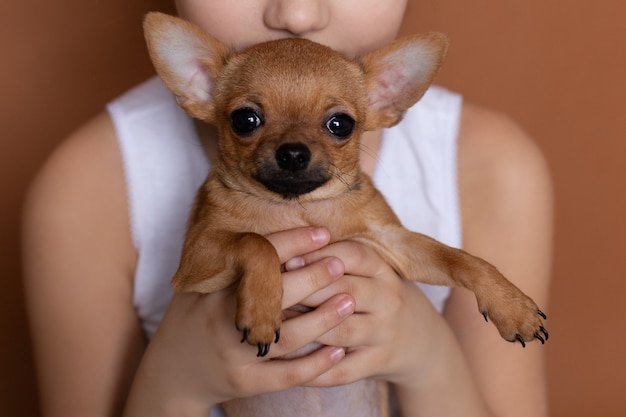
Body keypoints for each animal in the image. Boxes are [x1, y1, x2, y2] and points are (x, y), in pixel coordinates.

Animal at [144, 11, 544, 414]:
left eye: (340, 125)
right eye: (245, 120)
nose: (293, 152)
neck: (299, 207)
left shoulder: (395, 243)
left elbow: (462, 259)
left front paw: (512, 306)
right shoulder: (195, 264)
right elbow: (256, 241)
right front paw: (262, 310)